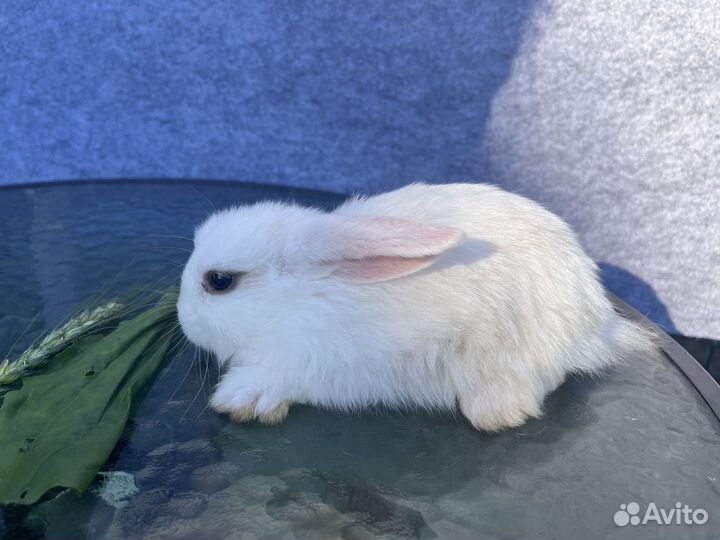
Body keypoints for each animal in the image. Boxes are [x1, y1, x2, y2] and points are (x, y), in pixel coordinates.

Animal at [177, 182, 655, 431]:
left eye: (219, 282)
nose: (182, 317)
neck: (303, 302)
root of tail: (599, 320)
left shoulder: (329, 365)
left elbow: (280, 378)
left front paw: (241, 398)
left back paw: (495, 411)